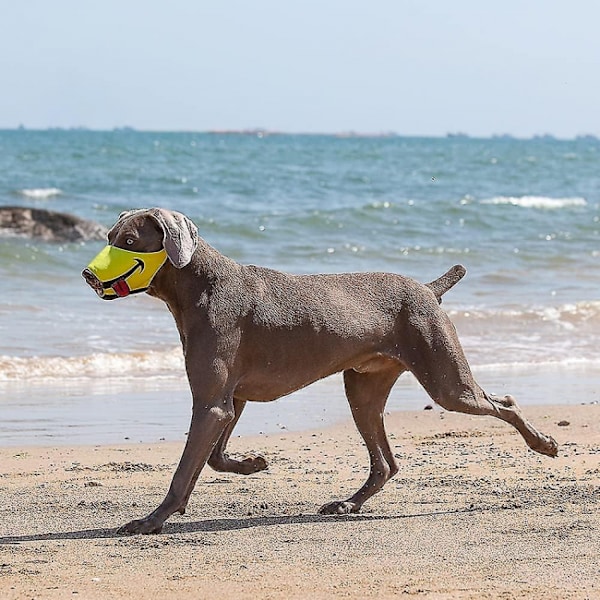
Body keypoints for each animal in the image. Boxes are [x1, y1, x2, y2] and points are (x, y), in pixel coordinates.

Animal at [82, 207, 560, 536]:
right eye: (108, 236)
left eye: (129, 239)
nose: (87, 274)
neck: (200, 284)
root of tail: (427, 288)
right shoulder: (229, 399)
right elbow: (213, 457)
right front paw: (254, 463)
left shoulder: (212, 401)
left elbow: (184, 471)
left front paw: (150, 521)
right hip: (363, 388)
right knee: (386, 463)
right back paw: (348, 504)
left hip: (446, 381)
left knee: (503, 403)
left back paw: (544, 443)